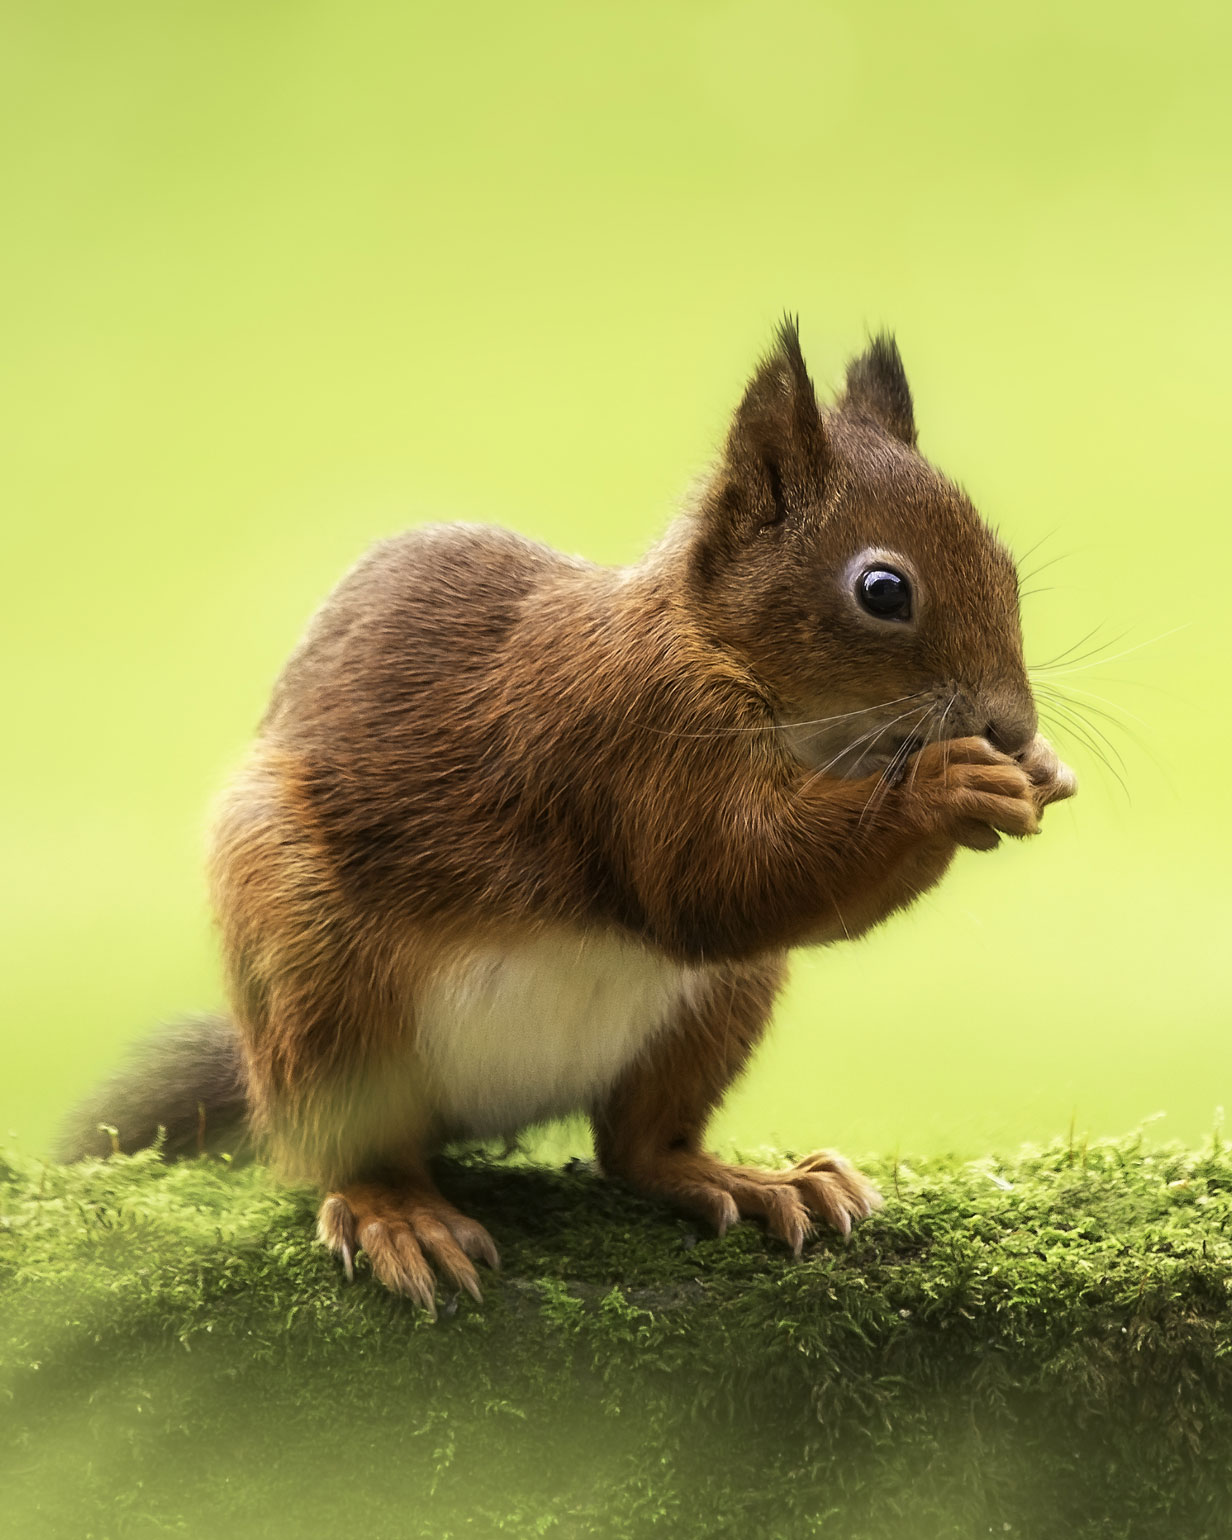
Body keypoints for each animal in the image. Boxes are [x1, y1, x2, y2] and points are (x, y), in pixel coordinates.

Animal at [60, 321, 1075, 1313]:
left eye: (1006, 568)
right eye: (882, 591)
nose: (1012, 726)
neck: (722, 653)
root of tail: (492, 1111)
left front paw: (1039, 771)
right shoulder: (627, 741)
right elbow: (718, 882)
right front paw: (952, 785)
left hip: (716, 1009)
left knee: (637, 1147)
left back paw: (751, 1183)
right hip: (313, 985)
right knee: (339, 1150)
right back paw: (397, 1213)